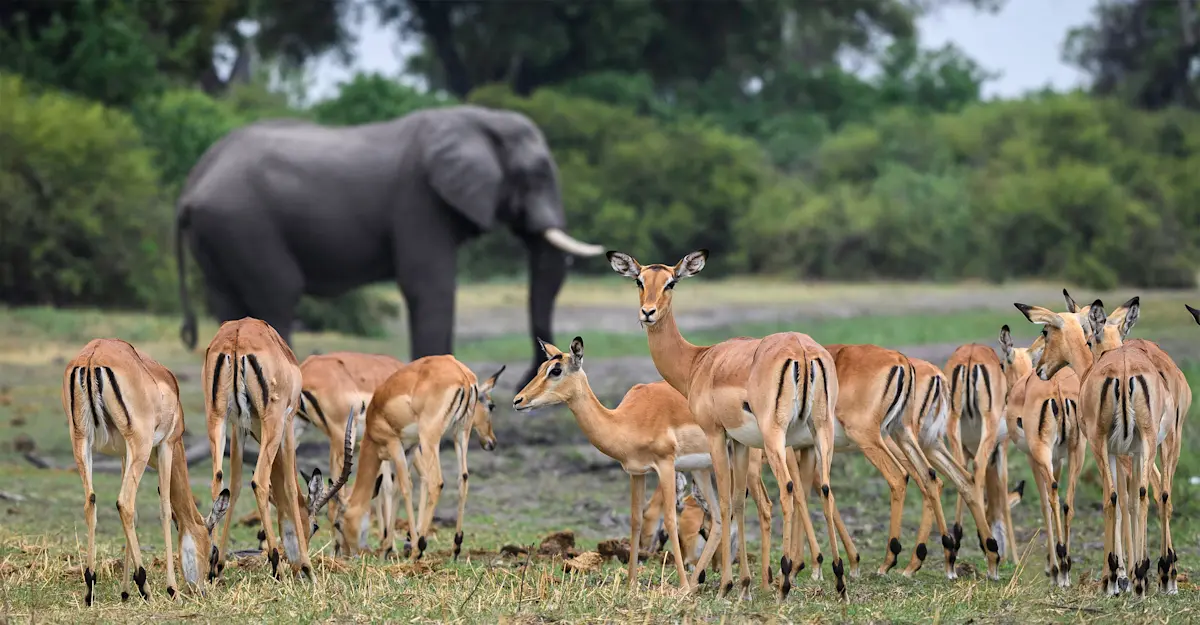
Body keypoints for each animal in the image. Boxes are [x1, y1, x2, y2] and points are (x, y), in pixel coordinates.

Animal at [175, 105, 603, 389]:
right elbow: (429, 286)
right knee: (277, 296)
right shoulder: (420, 199)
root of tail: (192, 185)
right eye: (537, 175)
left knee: (230, 306)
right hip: (245, 224)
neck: (479, 121)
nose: (530, 378)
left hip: (219, 235)